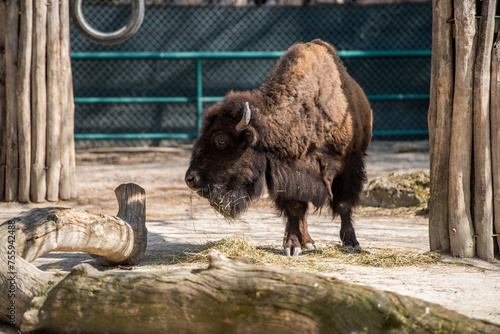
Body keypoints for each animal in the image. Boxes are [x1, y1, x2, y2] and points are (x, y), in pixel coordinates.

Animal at [185, 39, 372, 256]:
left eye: (221, 140)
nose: (191, 179)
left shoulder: (349, 164)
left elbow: (343, 204)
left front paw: (352, 243)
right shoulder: (288, 173)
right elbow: (295, 208)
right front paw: (292, 246)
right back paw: (307, 242)